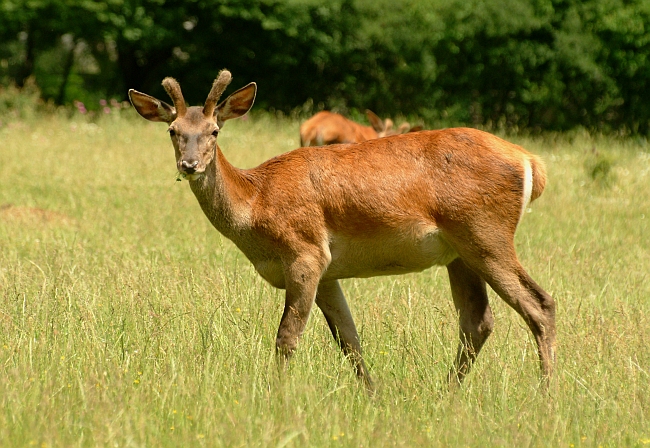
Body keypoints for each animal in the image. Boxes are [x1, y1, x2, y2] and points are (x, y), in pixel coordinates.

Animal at [129, 70, 556, 392]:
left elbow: (287, 337)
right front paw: (374, 395)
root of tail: (531, 162)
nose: (189, 165)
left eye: (215, 130)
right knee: (478, 321)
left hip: (486, 233)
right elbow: (350, 340)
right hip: (460, 252)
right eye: (172, 130)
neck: (256, 204)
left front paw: (275, 396)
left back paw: (545, 394)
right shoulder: (328, 270)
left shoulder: (305, 251)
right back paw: (447, 392)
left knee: (540, 304)